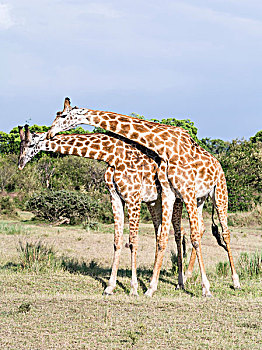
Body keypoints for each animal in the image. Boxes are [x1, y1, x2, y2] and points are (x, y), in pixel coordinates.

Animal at [18, 125, 194, 296]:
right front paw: (110, 287)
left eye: (31, 144)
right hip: (154, 201)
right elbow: (117, 241)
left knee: (180, 234)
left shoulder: (133, 198)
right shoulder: (115, 197)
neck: (112, 156)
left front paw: (134, 288)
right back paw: (159, 280)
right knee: (161, 235)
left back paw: (180, 282)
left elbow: (133, 242)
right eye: (20, 145)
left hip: (177, 200)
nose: (20, 164)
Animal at [46, 99, 241, 298]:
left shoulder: (170, 192)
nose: (49, 133)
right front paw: (146, 287)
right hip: (197, 199)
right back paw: (184, 278)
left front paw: (205, 289)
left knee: (221, 232)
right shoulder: (164, 193)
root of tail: (217, 162)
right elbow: (156, 238)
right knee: (197, 228)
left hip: (218, 193)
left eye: (62, 115)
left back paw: (234, 281)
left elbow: (154, 239)